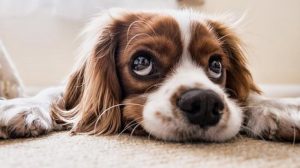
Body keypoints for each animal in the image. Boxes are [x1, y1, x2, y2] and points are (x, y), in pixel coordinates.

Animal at [0, 8, 300, 141]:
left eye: (216, 65)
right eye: (141, 62)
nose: (204, 103)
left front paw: (278, 108)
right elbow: (54, 94)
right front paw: (21, 107)